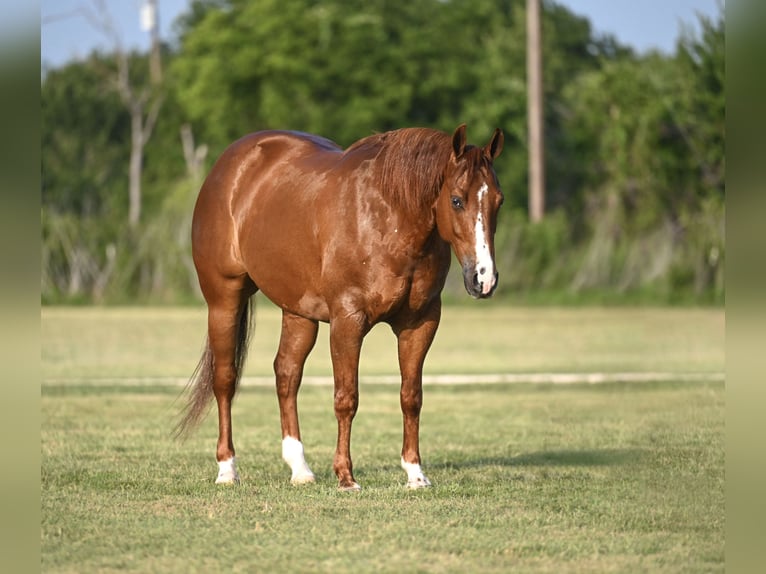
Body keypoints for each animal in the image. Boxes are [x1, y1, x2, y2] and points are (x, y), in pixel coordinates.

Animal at [177, 124, 504, 490]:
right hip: (224, 300)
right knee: (225, 379)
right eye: (457, 200)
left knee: (286, 375)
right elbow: (347, 398)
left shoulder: (421, 322)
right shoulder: (348, 320)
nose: (484, 278)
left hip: (298, 311)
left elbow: (411, 396)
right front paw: (346, 476)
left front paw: (415, 473)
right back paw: (227, 468)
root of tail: (228, 166)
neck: (389, 216)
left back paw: (300, 469)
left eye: (498, 200)